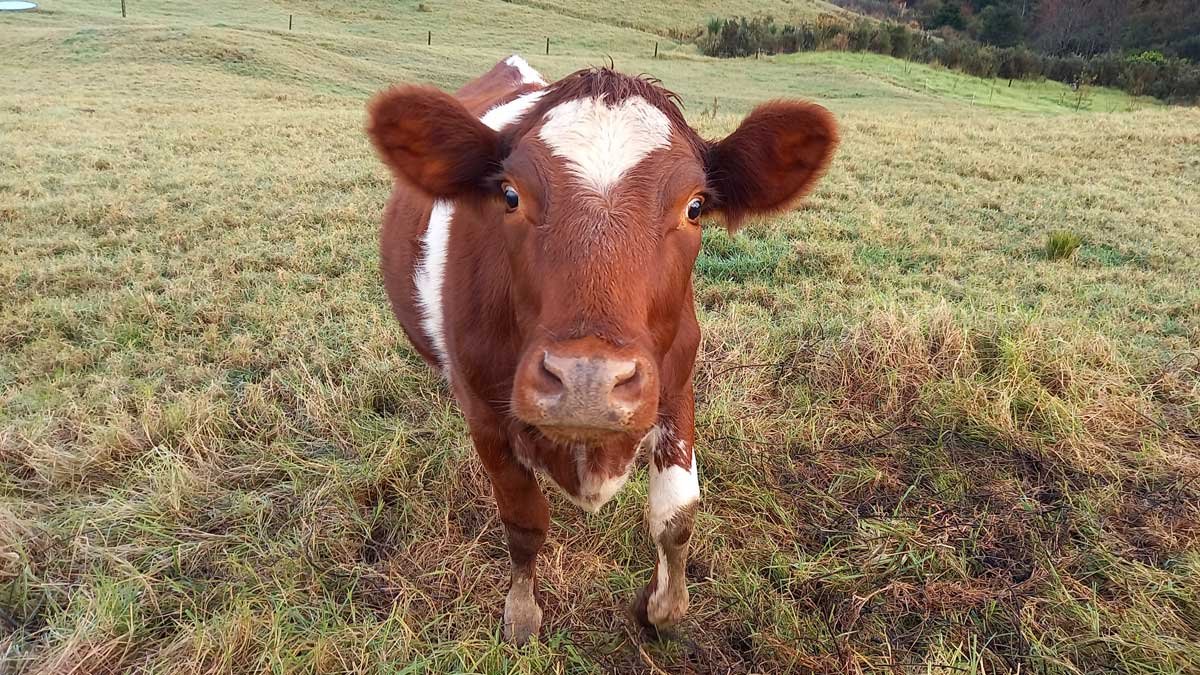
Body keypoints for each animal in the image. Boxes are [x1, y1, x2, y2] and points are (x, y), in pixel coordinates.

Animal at [366, 55, 837, 643]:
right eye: (510, 195)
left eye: (695, 207)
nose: (587, 380)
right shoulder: (486, 415)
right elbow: (524, 522)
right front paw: (522, 613)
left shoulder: (675, 386)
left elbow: (676, 516)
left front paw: (662, 609)